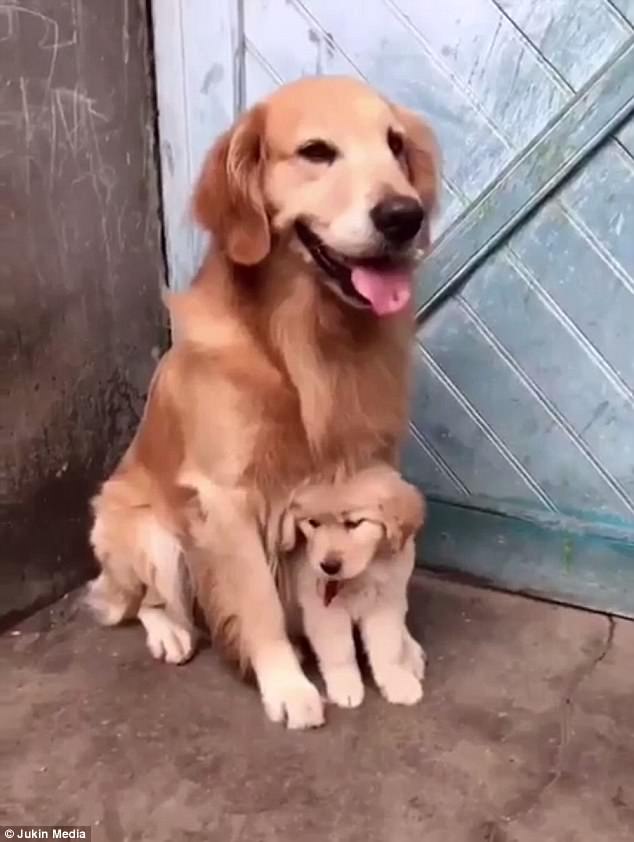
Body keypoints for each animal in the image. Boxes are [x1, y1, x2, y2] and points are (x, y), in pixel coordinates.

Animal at [272, 466, 424, 708]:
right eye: (313, 522)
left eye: (354, 523)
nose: (329, 566)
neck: (365, 571)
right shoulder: (325, 610)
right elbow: (340, 651)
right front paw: (346, 686)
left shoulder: (386, 603)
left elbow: (387, 648)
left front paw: (396, 680)